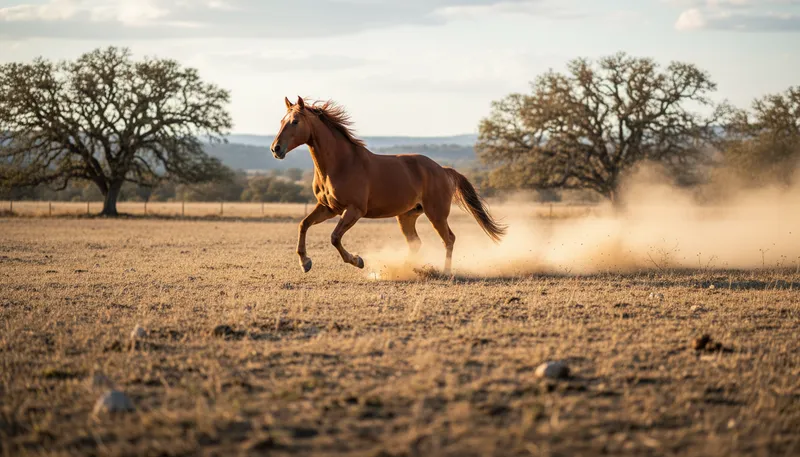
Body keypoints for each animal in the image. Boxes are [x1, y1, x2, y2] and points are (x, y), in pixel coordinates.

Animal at [270, 96, 506, 274]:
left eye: (295, 122)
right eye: (281, 120)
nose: (276, 149)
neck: (340, 164)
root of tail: (443, 169)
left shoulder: (354, 210)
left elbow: (335, 237)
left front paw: (358, 260)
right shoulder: (329, 208)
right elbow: (303, 224)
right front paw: (305, 262)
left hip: (436, 214)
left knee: (449, 238)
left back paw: (445, 271)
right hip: (407, 216)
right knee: (416, 243)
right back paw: (407, 268)